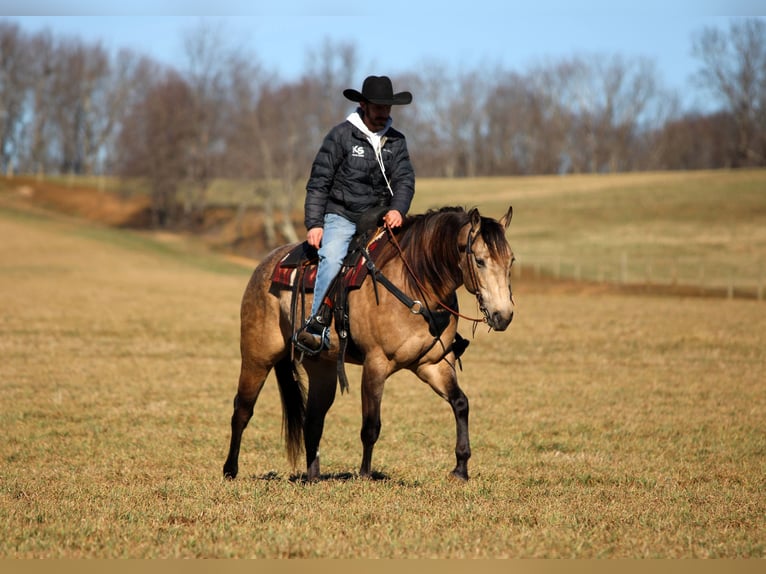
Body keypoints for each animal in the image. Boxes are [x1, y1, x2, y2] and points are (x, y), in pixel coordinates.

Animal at [223, 205, 515, 482]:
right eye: (479, 261)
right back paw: (230, 470)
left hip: (322, 369)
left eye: (510, 261)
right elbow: (371, 425)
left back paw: (313, 477)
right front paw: (365, 474)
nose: (504, 315)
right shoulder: (376, 363)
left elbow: (461, 403)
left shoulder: (434, 364)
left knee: (313, 419)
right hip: (257, 356)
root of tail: (266, 265)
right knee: (243, 409)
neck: (414, 284)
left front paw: (460, 468)